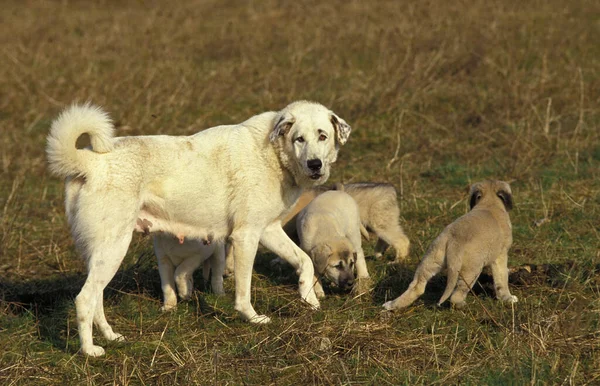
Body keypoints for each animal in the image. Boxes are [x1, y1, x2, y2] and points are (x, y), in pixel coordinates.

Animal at [47, 100, 352, 356]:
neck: (273, 154)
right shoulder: (246, 236)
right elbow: (244, 289)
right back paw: (89, 351)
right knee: (84, 299)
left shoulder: (268, 230)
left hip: (102, 253)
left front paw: (309, 299)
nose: (315, 164)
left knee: (96, 299)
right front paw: (253, 318)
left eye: (323, 136)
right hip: (114, 248)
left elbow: (305, 261)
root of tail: (90, 161)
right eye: (299, 138)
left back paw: (111, 337)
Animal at [384, 181, 516, 310]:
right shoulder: (501, 255)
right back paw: (461, 305)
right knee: (456, 295)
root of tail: (454, 241)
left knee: (417, 286)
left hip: (432, 259)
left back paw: (392, 305)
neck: (489, 203)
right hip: (471, 269)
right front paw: (508, 298)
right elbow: (502, 278)